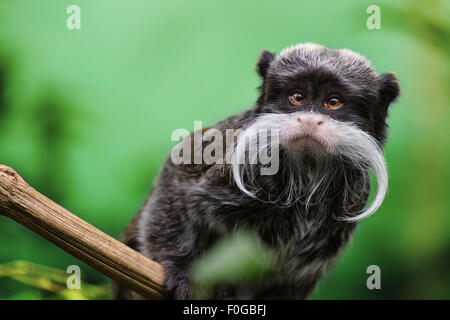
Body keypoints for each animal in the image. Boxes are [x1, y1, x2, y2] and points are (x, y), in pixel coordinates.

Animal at [112, 43, 400, 300]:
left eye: (333, 102)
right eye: (297, 97)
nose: (309, 120)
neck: (306, 176)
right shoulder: (227, 163)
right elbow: (178, 179)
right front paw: (181, 268)